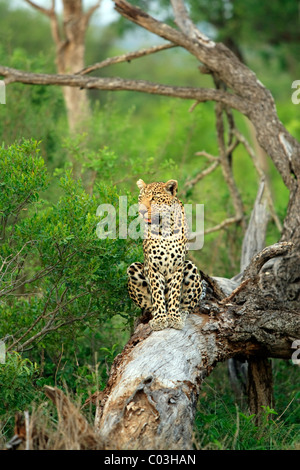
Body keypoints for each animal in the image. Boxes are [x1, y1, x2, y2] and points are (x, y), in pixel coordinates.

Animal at [126, 179, 206, 330]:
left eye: (154, 198)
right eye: (140, 198)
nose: (141, 211)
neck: (164, 227)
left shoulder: (178, 266)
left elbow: (175, 292)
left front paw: (174, 317)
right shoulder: (153, 267)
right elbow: (157, 293)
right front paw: (160, 319)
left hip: (190, 267)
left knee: (189, 306)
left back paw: (181, 314)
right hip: (133, 268)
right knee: (149, 306)